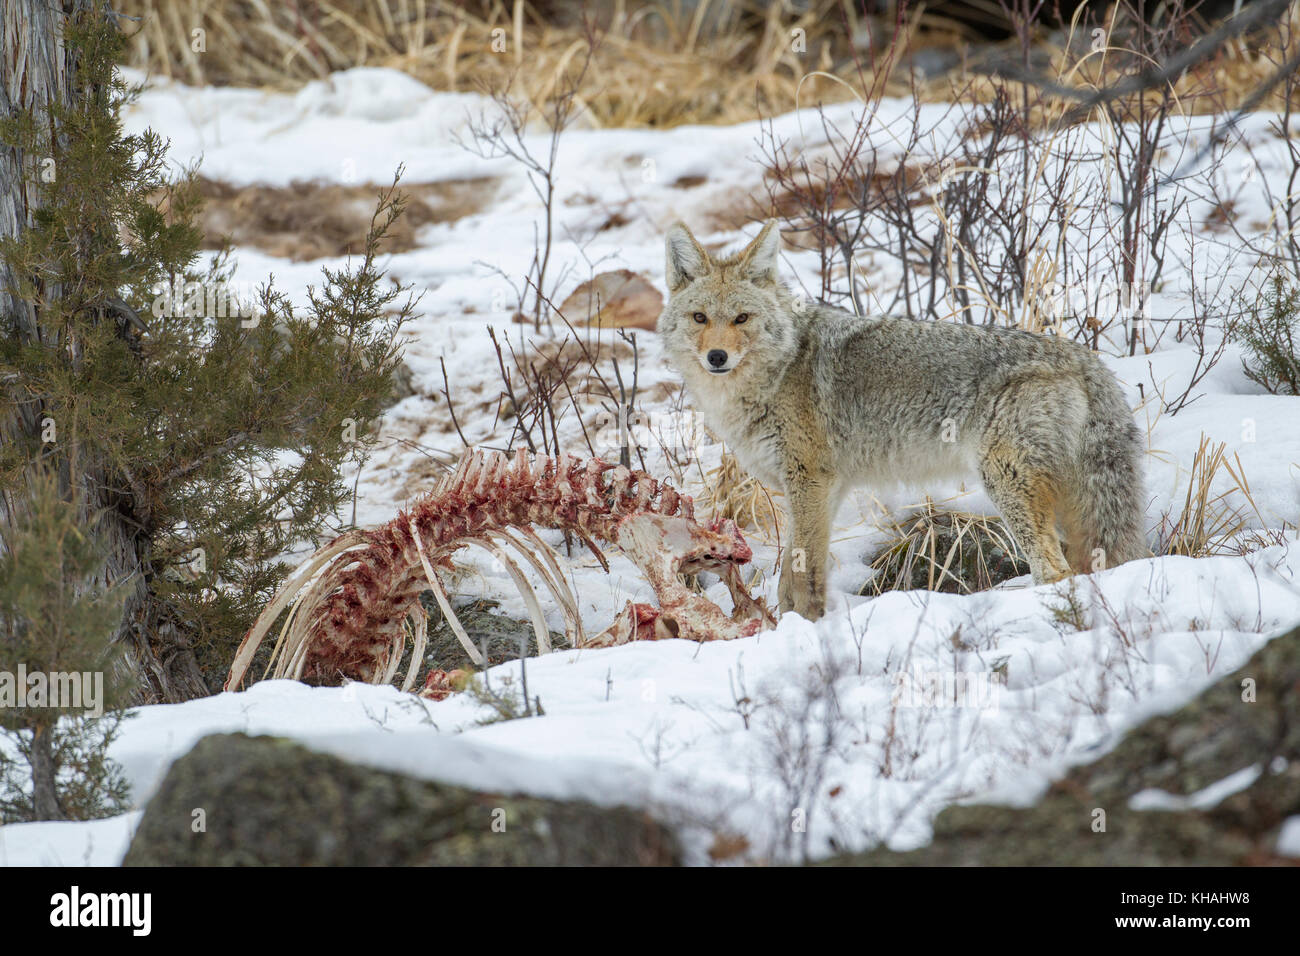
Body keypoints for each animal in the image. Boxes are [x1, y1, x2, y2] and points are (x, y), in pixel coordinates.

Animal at [657, 220, 1147, 620]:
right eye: (700, 318)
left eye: (742, 318)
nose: (716, 357)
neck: (776, 372)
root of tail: (1087, 361)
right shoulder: (822, 490)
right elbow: (791, 576)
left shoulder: (810, 482)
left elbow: (802, 577)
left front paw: (803, 627)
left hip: (1008, 486)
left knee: (1055, 570)